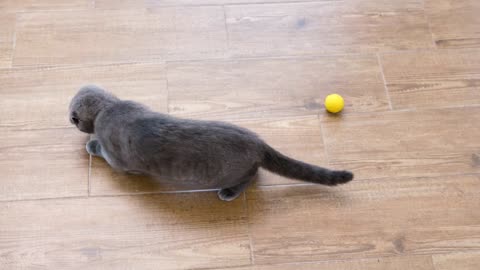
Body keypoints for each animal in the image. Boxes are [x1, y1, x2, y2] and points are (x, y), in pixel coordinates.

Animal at [68, 85, 352, 201]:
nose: (75, 125)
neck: (109, 107)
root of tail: (258, 141)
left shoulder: (119, 160)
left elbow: (107, 155)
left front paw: (91, 145)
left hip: (234, 173)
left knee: (252, 176)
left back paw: (229, 193)